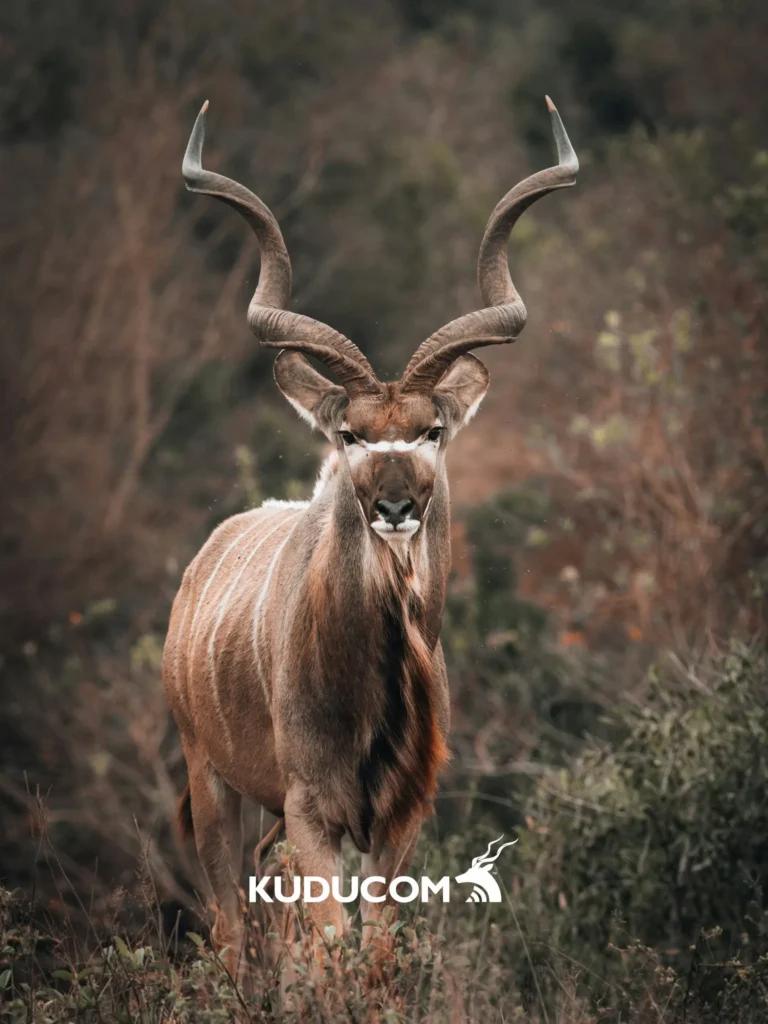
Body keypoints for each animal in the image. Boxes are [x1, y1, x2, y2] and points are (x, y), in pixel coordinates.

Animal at [163, 96, 578, 970]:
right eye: (350, 434)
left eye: (431, 431)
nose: (394, 506)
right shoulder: (312, 811)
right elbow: (330, 949)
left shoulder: (398, 818)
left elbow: (376, 952)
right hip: (212, 781)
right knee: (231, 929)